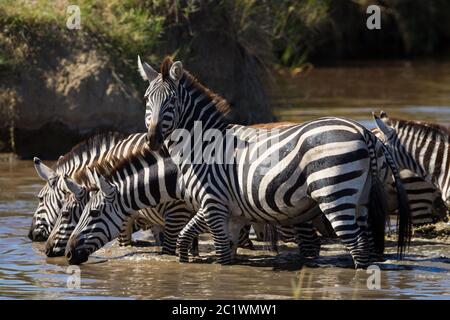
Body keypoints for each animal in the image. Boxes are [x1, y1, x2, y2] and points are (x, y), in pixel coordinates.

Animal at [137, 55, 412, 268]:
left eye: (172, 101)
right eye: (147, 100)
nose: (152, 139)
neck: (202, 145)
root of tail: (362, 131)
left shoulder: (213, 203)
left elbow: (221, 255)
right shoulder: (230, 212)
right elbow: (191, 239)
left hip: (335, 193)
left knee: (355, 246)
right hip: (361, 197)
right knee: (364, 244)